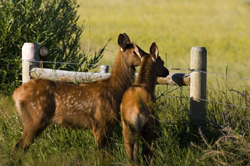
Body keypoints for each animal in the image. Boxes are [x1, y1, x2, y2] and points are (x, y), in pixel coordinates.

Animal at [12, 33, 146, 158]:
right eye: (134, 51)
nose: (147, 56)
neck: (114, 89)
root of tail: (16, 94)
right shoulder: (100, 122)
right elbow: (101, 153)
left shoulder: (108, 125)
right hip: (35, 117)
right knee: (19, 146)